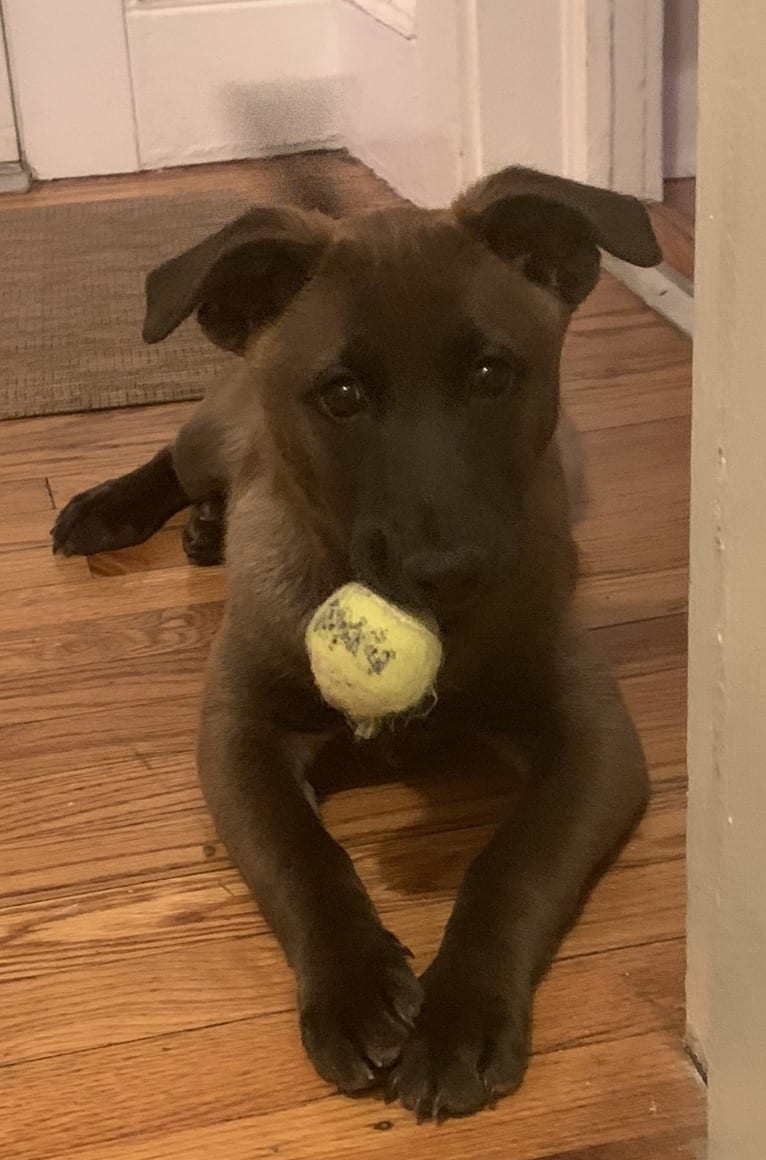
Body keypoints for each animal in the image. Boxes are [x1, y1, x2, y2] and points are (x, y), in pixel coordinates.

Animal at [52, 168, 659, 1118]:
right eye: (341, 395)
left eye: (493, 374)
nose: (448, 571)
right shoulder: (237, 730)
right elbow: (302, 857)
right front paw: (352, 986)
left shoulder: (595, 737)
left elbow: (512, 863)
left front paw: (459, 1015)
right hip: (208, 435)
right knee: (172, 458)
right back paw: (120, 508)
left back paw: (207, 528)